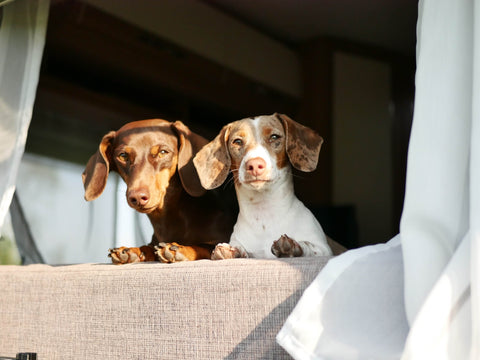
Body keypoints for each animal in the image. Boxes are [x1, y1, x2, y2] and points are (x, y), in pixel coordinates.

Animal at [83, 119, 236, 262]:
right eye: (123, 156)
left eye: (163, 152)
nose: (137, 197)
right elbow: (148, 247)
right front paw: (132, 250)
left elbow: (204, 246)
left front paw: (180, 249)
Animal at [193, 112, 332, 258]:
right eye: (237, 141)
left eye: (274, 136)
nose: (254, 165)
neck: (264, 217)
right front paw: (232, 251)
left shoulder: (324, 249)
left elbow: (309, 246)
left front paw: (292, 246)